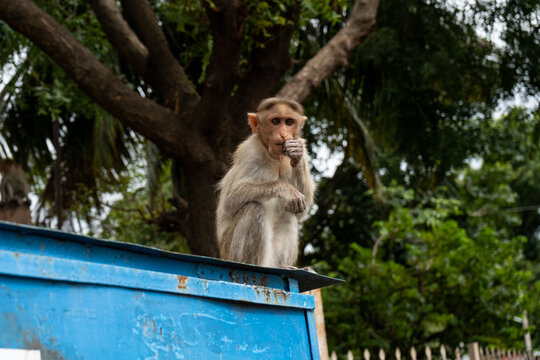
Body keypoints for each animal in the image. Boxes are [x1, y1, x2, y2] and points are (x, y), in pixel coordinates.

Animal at [216, 96, 316, 268]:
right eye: (275, 121)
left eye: (289, 122)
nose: (284, 134)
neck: (275, 156)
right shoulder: (249, 151)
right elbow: (230, 200)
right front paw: (285, 189)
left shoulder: (301, 143)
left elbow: (302, 209)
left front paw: (296, 154)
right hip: (230, 253)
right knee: (253, 208)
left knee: (289, 214)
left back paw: (283, 266)